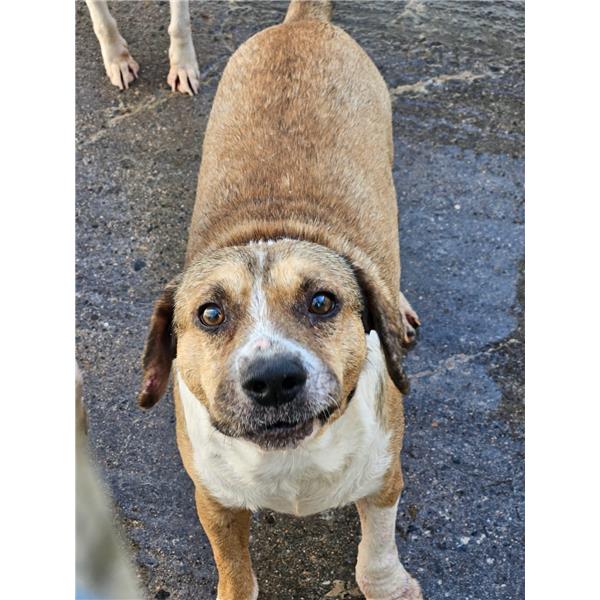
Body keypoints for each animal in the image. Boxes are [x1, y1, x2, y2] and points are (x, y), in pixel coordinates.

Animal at [138, 1, 422, 598]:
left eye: (322, 302)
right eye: (210, 313)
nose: (273, 380)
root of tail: (302, 21)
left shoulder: (385, 475)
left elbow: (376, 550)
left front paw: (388, 585)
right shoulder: (214, 501)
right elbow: (235, 571)